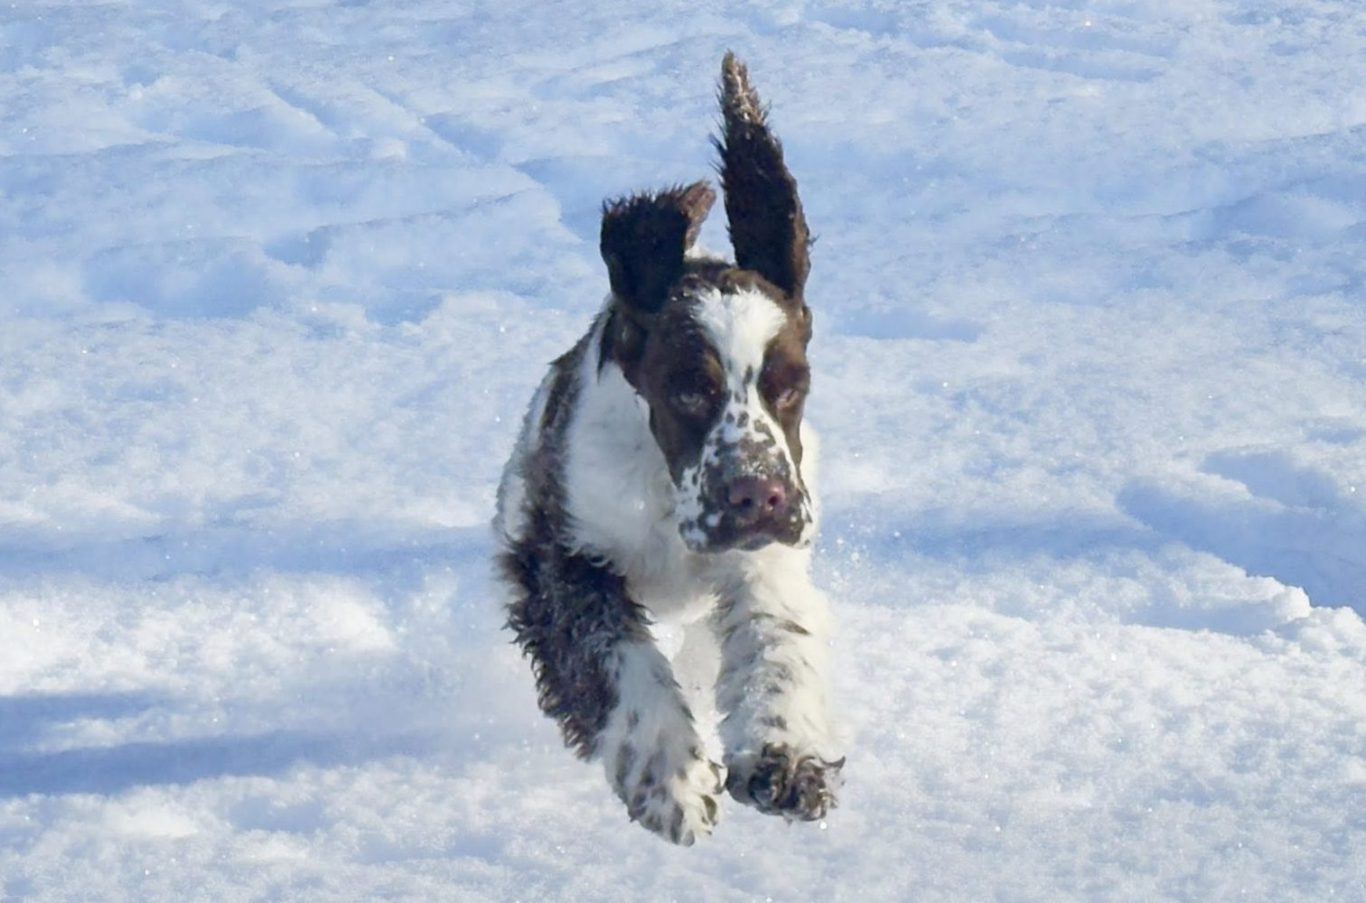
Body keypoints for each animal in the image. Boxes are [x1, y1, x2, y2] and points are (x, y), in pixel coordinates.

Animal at [494, 53, 842, 846]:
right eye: (686, 390)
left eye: (790, 385)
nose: (757, 496)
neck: (664, 493)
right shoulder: (558, 554)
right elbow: (616, 655)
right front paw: (672, 780)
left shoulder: (766, 553)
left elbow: (776, 636)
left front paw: (786, 757)